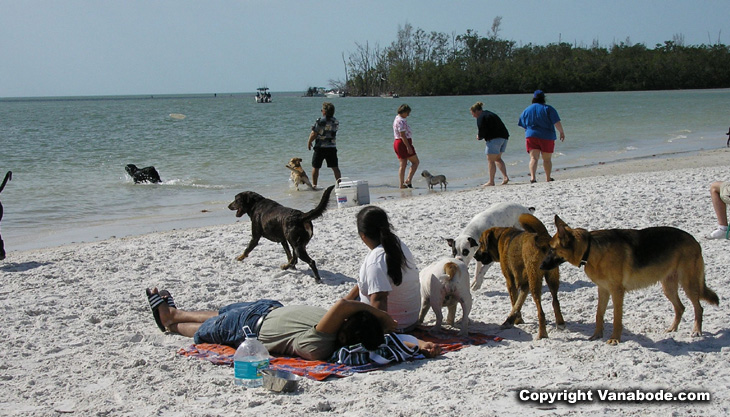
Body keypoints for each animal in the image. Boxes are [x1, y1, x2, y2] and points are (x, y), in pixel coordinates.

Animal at [536, 214, 720, 344]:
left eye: (551, 249)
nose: (540, 266)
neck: (590, 248)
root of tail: (694, 240)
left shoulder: (617, 292)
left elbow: (616, 317)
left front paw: (614, 339)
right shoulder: (603, 290)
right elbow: (599, 314)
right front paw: (597, 335)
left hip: (689, 285)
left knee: (698, 308)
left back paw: (696, 330)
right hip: (668, 287)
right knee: (680, 307)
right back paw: (672, 329)